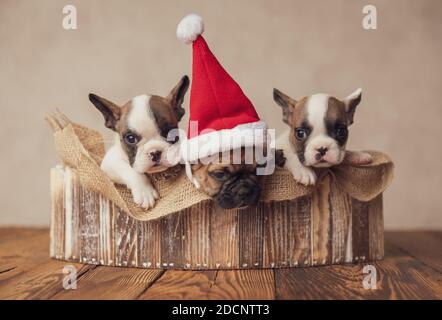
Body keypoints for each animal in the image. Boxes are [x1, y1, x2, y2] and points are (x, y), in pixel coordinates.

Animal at [89, 76, 189, 209]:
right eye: (131, 138)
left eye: (171, 133)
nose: (155, 152)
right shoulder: (110, 162)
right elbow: (130, 170)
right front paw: (144, 191)